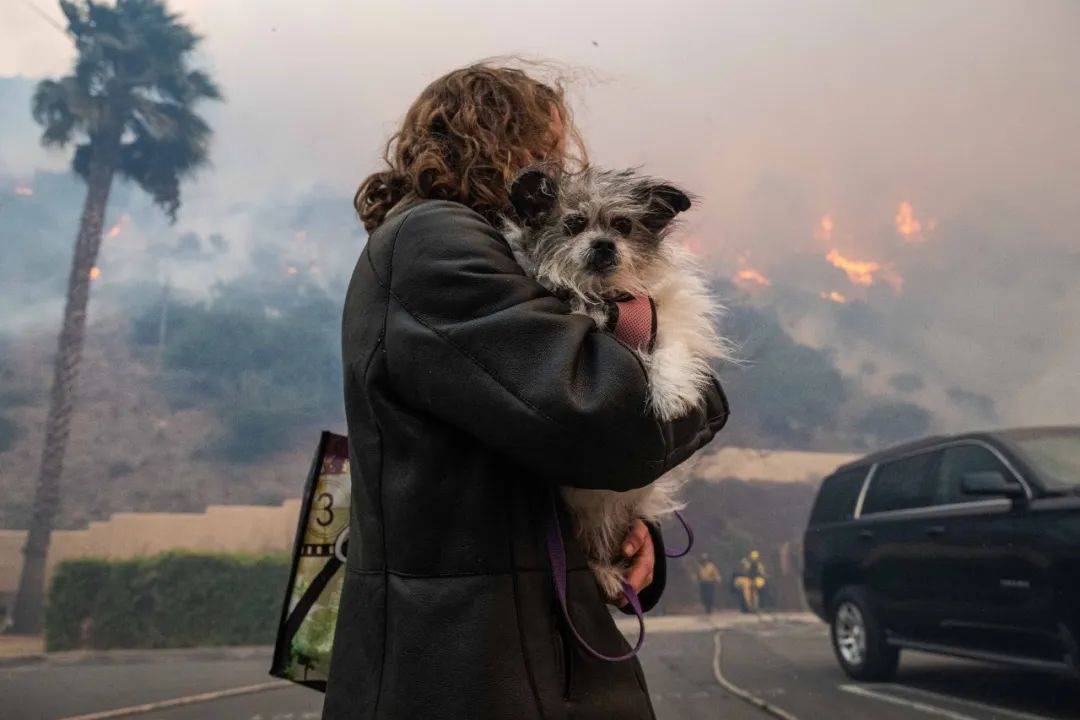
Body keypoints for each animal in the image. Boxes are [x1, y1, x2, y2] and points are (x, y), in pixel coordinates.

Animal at [501, 166, 730, 600]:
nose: (604, 244)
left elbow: (671, 347)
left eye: (623, 225)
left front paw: (673, 393)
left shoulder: (665, 316)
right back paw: (605, 574)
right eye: (574, 224)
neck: (607, 298)